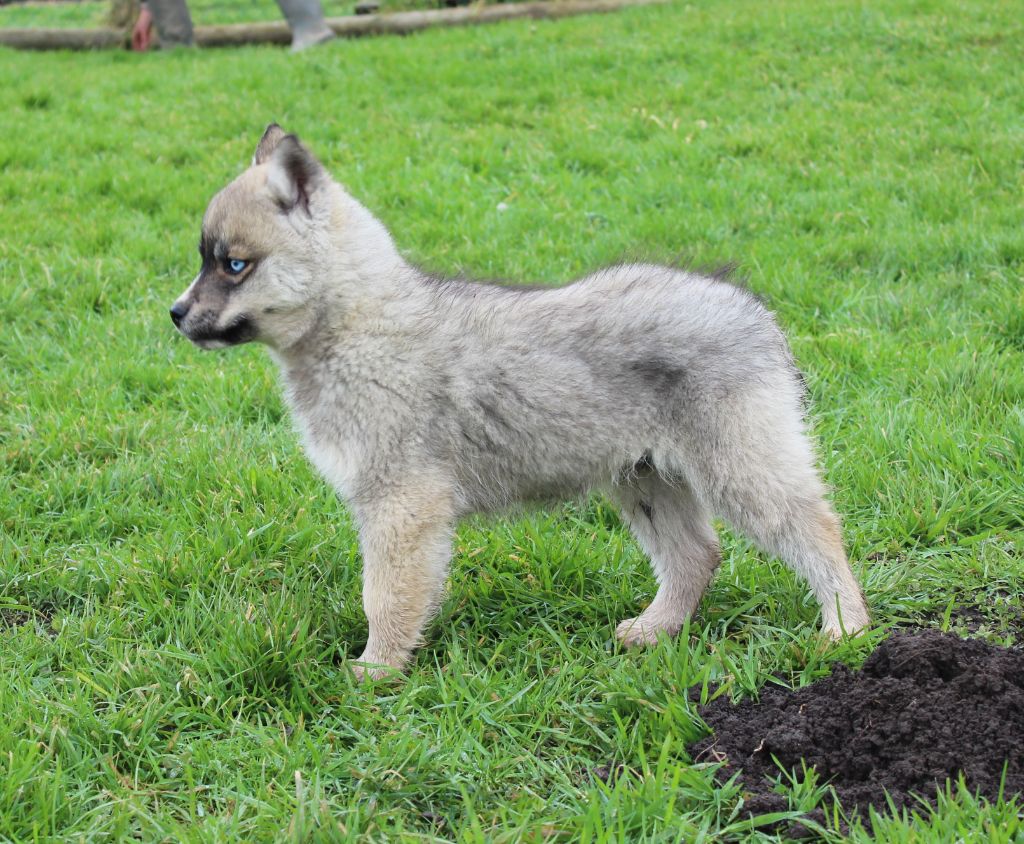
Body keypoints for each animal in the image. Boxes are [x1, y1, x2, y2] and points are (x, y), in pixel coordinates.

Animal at [170, 125, 870, 679]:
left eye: (234, 265)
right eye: (208, 260)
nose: (175, 314)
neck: (354, 324)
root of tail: (750, 309)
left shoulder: (400, 505)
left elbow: (386, 596)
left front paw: (376, 671)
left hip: (739, 466)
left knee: (816, 529)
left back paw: (845, 627)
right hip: (644, 477)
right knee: (696, 555)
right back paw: (655, 630)